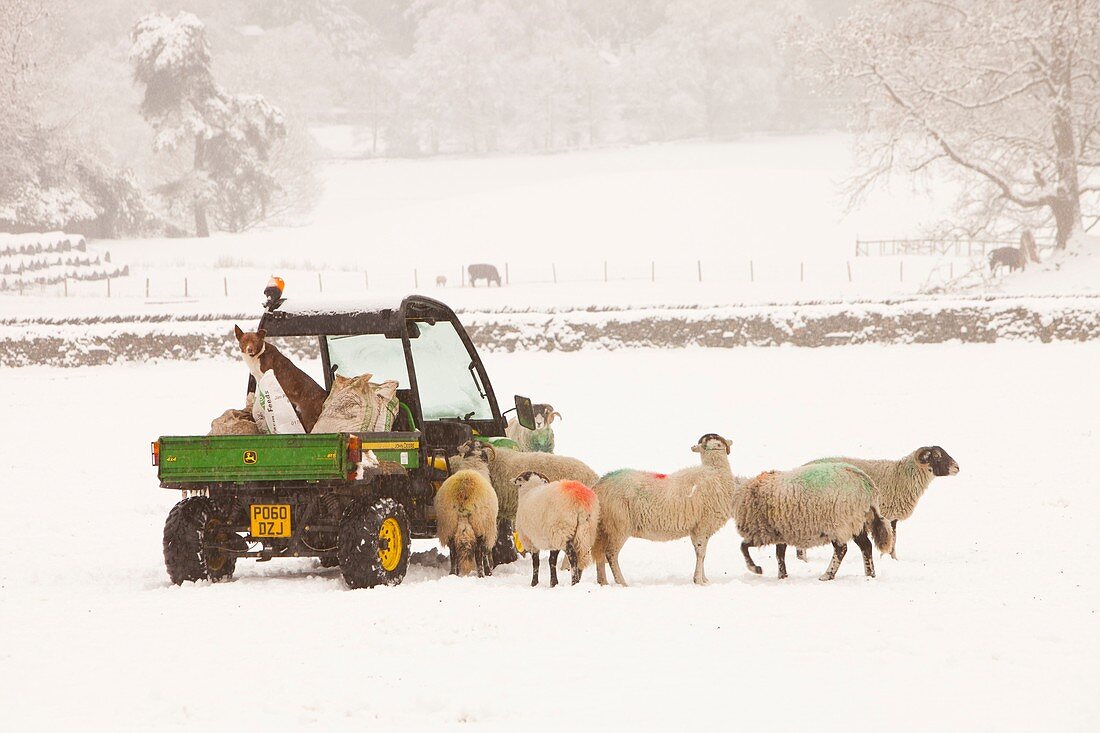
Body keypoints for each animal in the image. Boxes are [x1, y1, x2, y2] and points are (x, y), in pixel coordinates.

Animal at [796, 444, 959, 559]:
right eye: (936, 455)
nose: (957, 467)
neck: (901, 477)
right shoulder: (887, 515)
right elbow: (892, 540)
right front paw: (888, 558)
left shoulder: (891, 517)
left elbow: (893, 539)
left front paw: (892, 559)